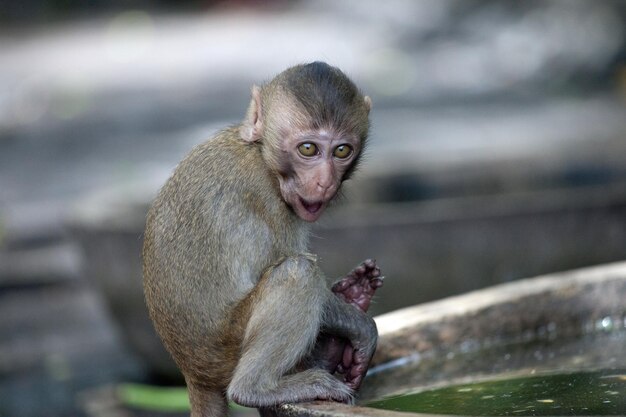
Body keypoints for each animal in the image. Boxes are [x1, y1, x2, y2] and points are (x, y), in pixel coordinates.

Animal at [143, 61, 380, 416]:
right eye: (308, 148)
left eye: (342, 151)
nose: (324, 182)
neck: (260, 155)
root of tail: (193, 374)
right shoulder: (270, 201)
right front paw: (361, 326)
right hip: (226, 348)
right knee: (299, 273)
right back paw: (258, 388)